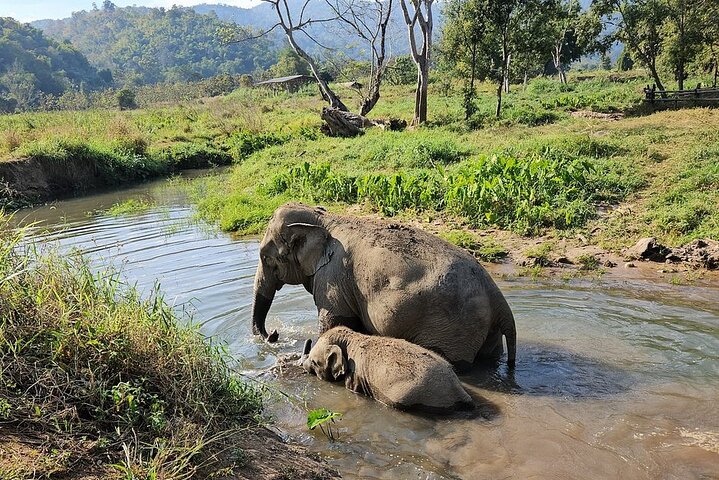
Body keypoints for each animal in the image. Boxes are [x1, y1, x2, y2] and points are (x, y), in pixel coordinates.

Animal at [251, 203, 516, 370]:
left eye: (266, 257)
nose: (274, 333)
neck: (324, 218)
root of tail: (498, 299)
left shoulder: (332, 277)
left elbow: (334, 322)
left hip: (454, 328)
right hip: (482, 330)